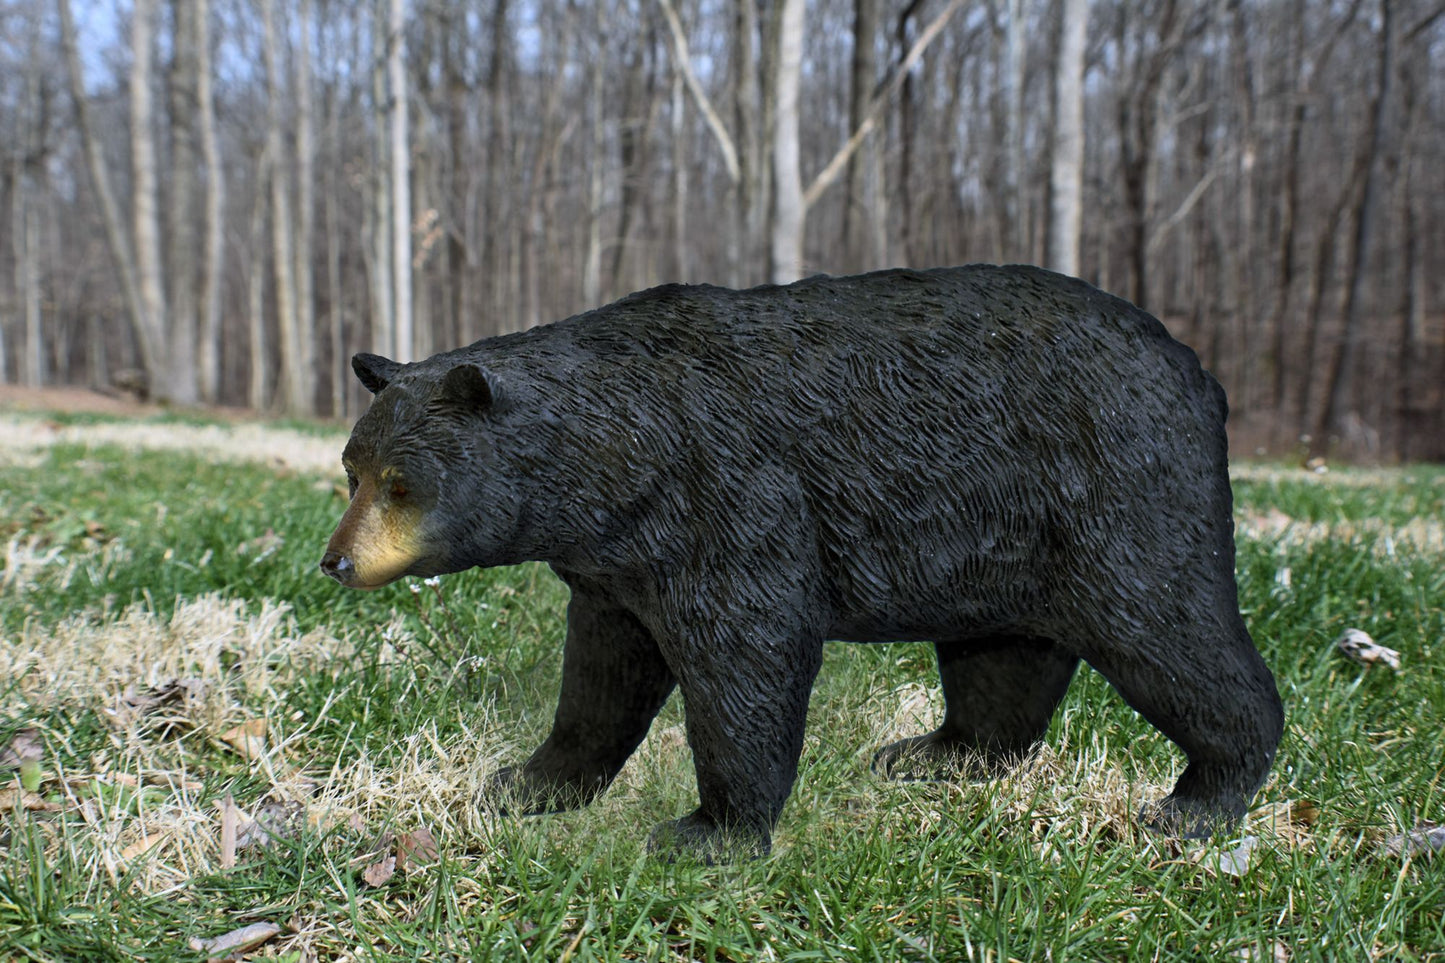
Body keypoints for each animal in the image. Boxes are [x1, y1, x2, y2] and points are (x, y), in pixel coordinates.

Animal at [320, 264, 1284, 860]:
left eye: (402, 482)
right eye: (352, 468)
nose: (335, 561)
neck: (614, 455)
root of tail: (1199, 371)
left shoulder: (722, 491)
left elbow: (746, 648)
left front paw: (708, 830)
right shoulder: (614, 560)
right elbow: (603, 671)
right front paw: (528, 781)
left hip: (1116, 487)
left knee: (1162, 625)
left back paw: (1198, 799)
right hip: (1003, 533)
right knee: (1002, 653)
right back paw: (937, 753)